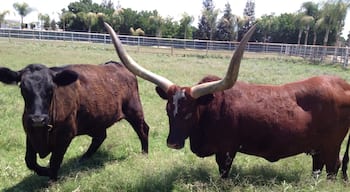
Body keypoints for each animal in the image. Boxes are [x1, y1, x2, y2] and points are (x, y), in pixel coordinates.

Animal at [0, 61, 149, 180]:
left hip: (134, 111)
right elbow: (30, 161)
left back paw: (144, 154)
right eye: (23, 88)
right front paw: (45, 171)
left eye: (51, 88)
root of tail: (116, 65)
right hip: (96, 120)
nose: (38, 119)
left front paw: (53, 180)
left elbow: (54, 161)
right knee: (100, 137)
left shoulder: (65, 136)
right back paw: (83, 158)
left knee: (143, 130)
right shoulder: (30, 133)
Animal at [104, 22, 350, 180]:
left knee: (332, 168)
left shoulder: (227, 150)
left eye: (188, 113)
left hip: (331, 146)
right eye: (168, 110)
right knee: (318, 168)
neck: (210, 108)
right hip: (318, 147)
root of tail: (343, 85)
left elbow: (223, 174)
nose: (172, 143)